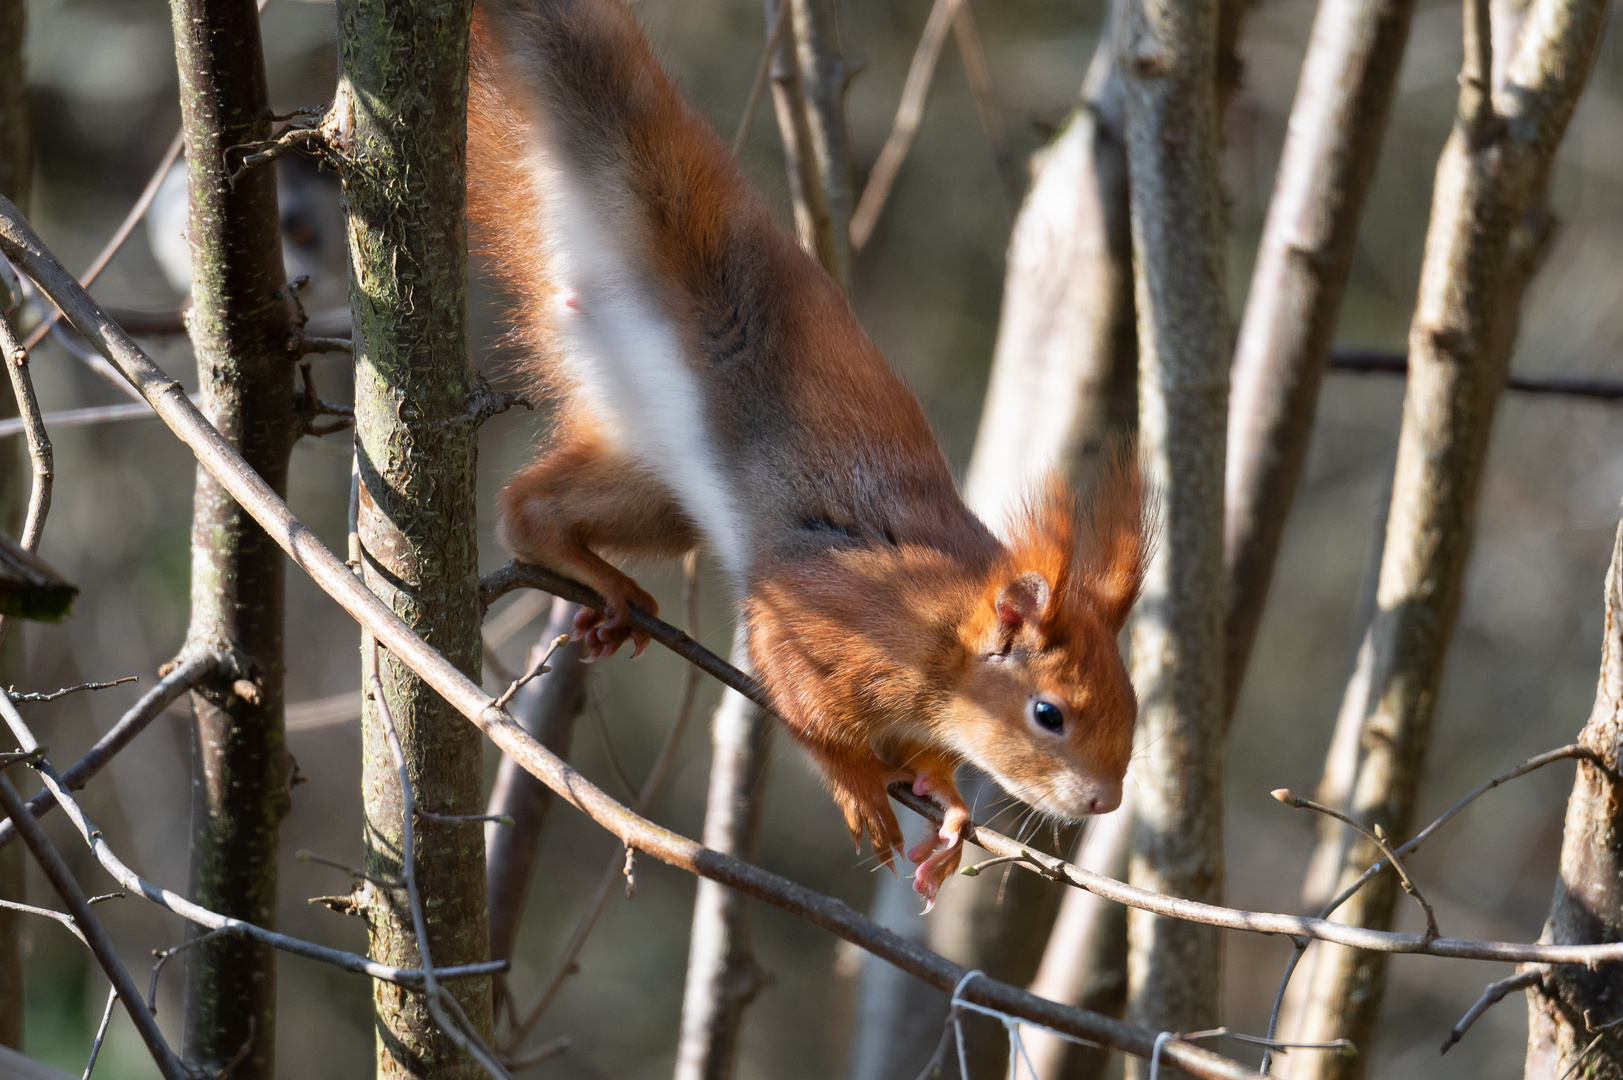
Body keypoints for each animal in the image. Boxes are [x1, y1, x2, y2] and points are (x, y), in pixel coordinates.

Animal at [470, 0, 1155, 902]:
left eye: (1134, 703)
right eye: (1049, 713)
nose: (1103, 801)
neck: (940, 640)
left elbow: (928, 761)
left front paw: (949, 804)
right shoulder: (816, 622)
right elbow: (803, 709)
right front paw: (859, 785)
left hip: (649, 477)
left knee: (531, 508)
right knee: (524, 516)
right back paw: (611, 585)